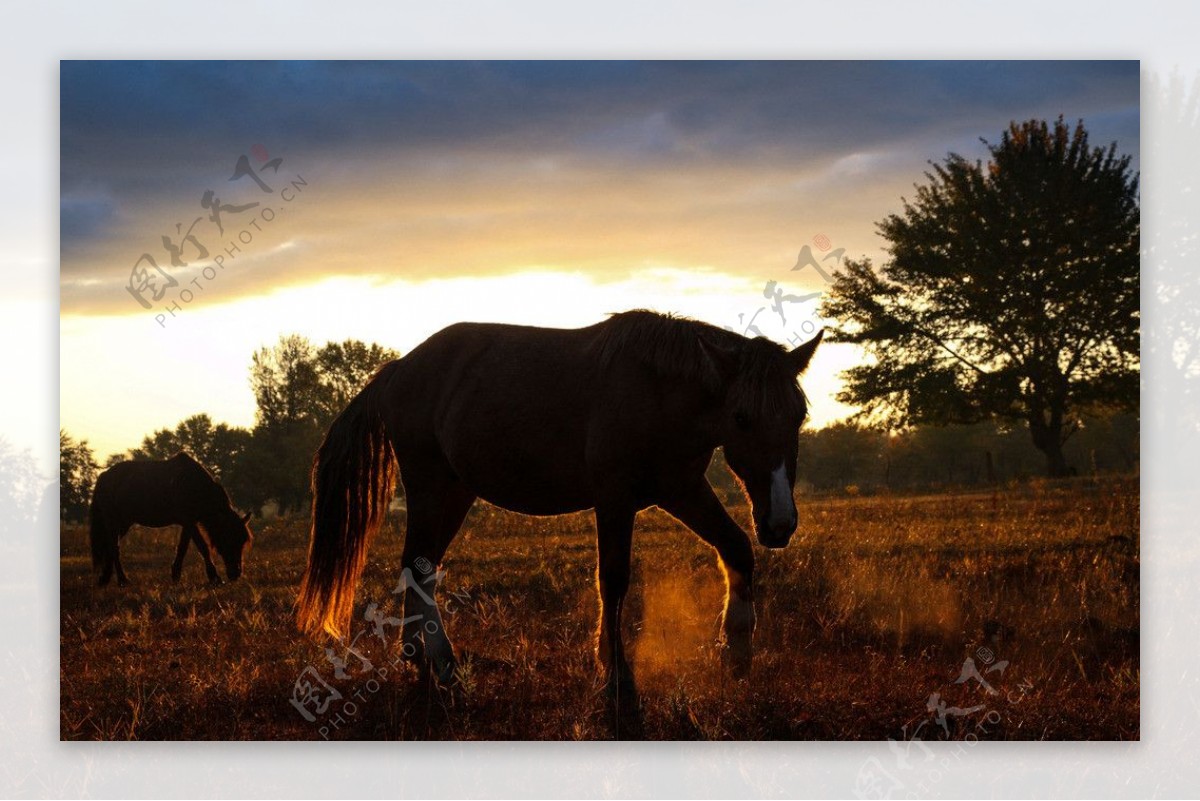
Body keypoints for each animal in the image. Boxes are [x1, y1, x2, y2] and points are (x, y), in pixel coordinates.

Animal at [88, 450, 253, 587]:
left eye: (242, 542)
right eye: (230, 539)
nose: (236, 573)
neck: (195, 485)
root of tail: (103, 477)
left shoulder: (189, 523)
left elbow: (182, 548)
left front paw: (175, 575)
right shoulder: (189, 521)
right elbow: (202, 547)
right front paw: (215, 577)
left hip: (124, 523)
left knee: (110, 546)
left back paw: (105, 579)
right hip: (113, 521)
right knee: (114, 548)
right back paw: (122, 580)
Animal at [295, 309, 820, 690]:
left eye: (798, 415)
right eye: (742, 418)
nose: (780, 522)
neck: (656, 392)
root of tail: (399, 368)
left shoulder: (683, 491)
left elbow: (737, 549)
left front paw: (737, 652)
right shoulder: (614, 501)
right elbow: (613, 581)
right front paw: (614, 669)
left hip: (455, 493)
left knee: (420, 568)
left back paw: (423, 658)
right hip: (431, 488)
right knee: (417, 565)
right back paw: (439, 662)